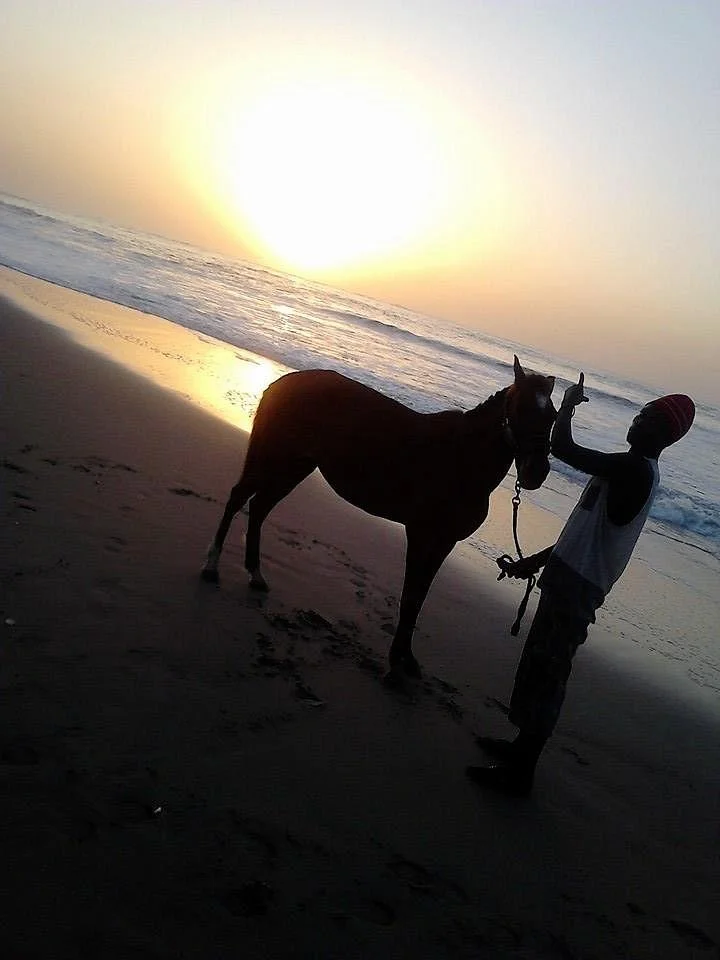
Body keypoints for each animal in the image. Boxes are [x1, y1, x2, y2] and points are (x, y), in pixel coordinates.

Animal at [202, 355, 556, 679]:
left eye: (553, 416)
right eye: (520, 408)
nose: (536, 472)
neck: (461, 459)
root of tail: (281, 383)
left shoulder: (444, 543)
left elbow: (420, 597)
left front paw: (407, 658)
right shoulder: (420, 534)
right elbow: (410, 596)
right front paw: (396, 659)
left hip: (295, 466)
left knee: (260, 508)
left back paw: (256, 574)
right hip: (273, 456)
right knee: (238, 498)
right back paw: (211, 567)